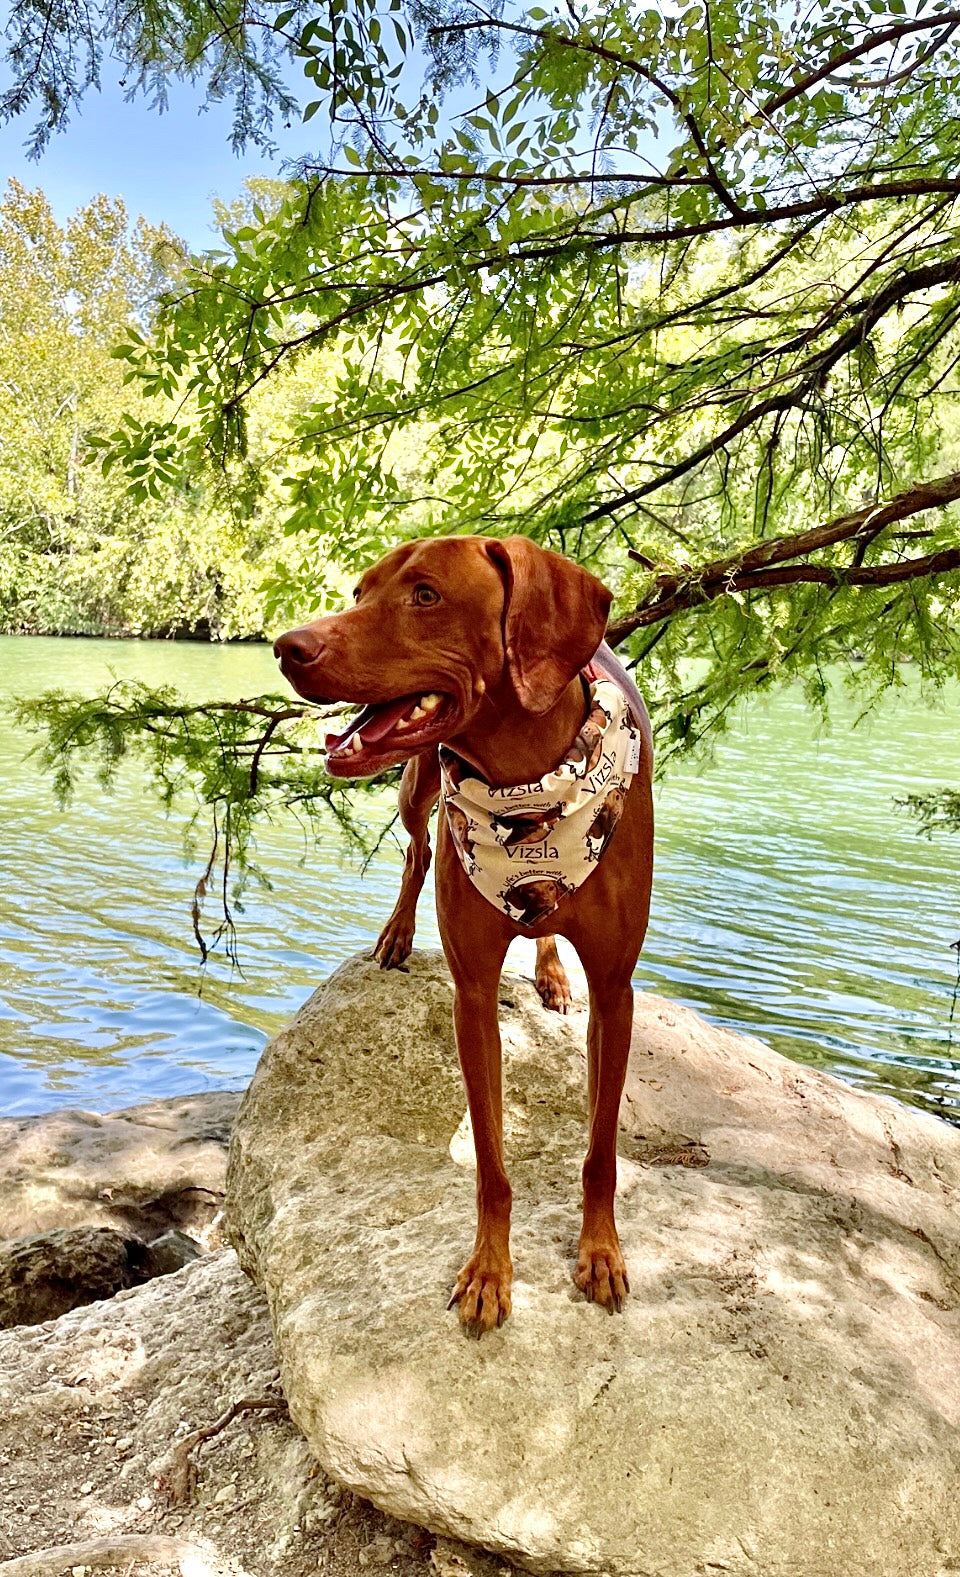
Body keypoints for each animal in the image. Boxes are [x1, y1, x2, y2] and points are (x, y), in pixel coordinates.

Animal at [272, 536, 655, 1337]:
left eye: (426, 594)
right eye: (360, 591)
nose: (288, 647)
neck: (529, 783)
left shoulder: (617, 992)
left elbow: (600, 1150)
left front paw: (600, 1252)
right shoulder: (472, 995)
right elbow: (491, 1161)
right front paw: (488, 1272)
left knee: (542, 931)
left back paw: (551, 971)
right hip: (418, 783)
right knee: (416, 848)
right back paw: (396, 933)